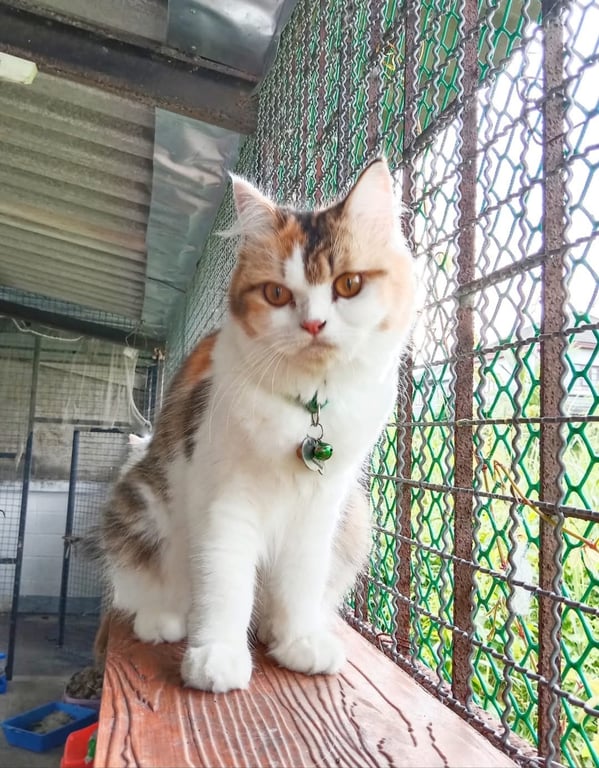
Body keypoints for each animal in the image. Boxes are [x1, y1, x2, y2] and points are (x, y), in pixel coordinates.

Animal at [97, 158, 415, 693]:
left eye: (349, 285)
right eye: (277, 294)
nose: (313, 325)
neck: (307, 407)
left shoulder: (320, 508)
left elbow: (300, 582)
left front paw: (298, 640)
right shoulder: (225, 502)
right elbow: (225, 584)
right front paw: (217, 655)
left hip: (354, 518)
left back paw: (271, 627)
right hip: (141, 504)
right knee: (156, 585)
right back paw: (166, 620)